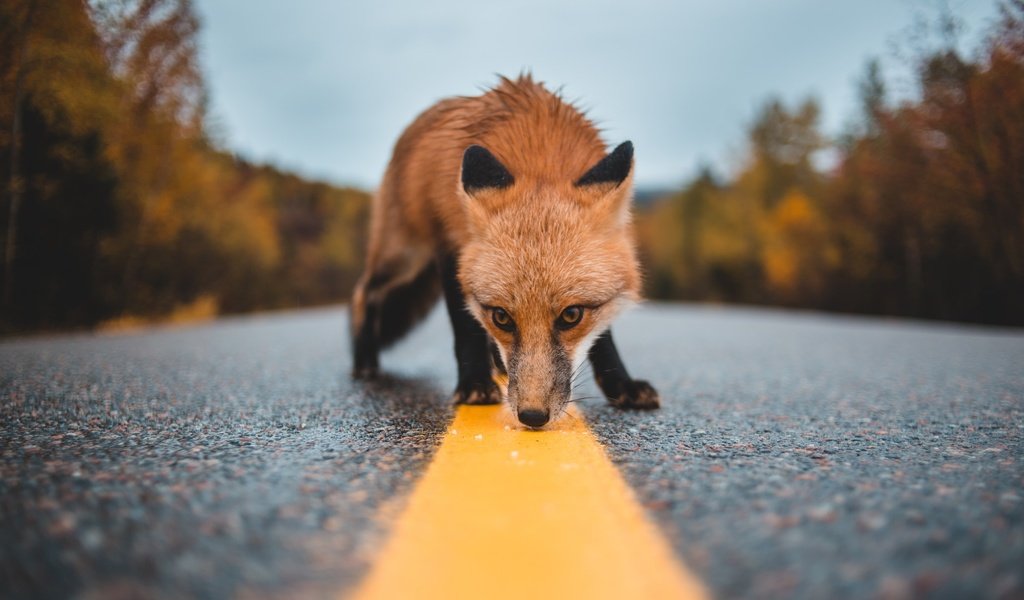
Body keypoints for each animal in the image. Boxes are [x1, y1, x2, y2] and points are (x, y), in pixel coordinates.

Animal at [348, 74, 659, 427]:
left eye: (572, 315)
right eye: (502, 317)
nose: (533, 416)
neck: (539, 151)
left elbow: (603, 337)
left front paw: (621, 384)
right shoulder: (451, 248)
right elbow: (465, 325)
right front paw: (473, 384)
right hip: (404, 256)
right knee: (363, 292)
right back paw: (364, 360)